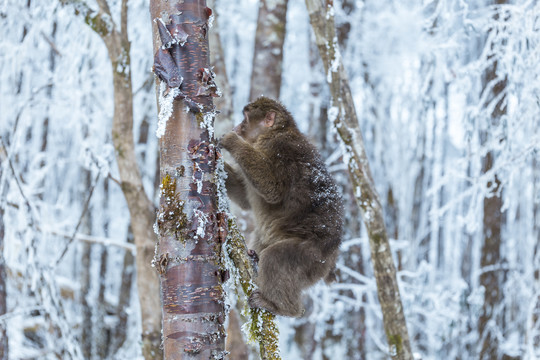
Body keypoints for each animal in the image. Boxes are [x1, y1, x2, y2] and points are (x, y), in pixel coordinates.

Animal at [218, 96, 342, 318]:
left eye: (245, 117)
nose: (237, 127)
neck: (272, 133)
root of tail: (332, 257)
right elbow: (243, 196)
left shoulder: (280, 149)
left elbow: (272, 188)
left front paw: (233, 142)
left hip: (312, 258)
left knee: (277, 258)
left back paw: (283, 308)